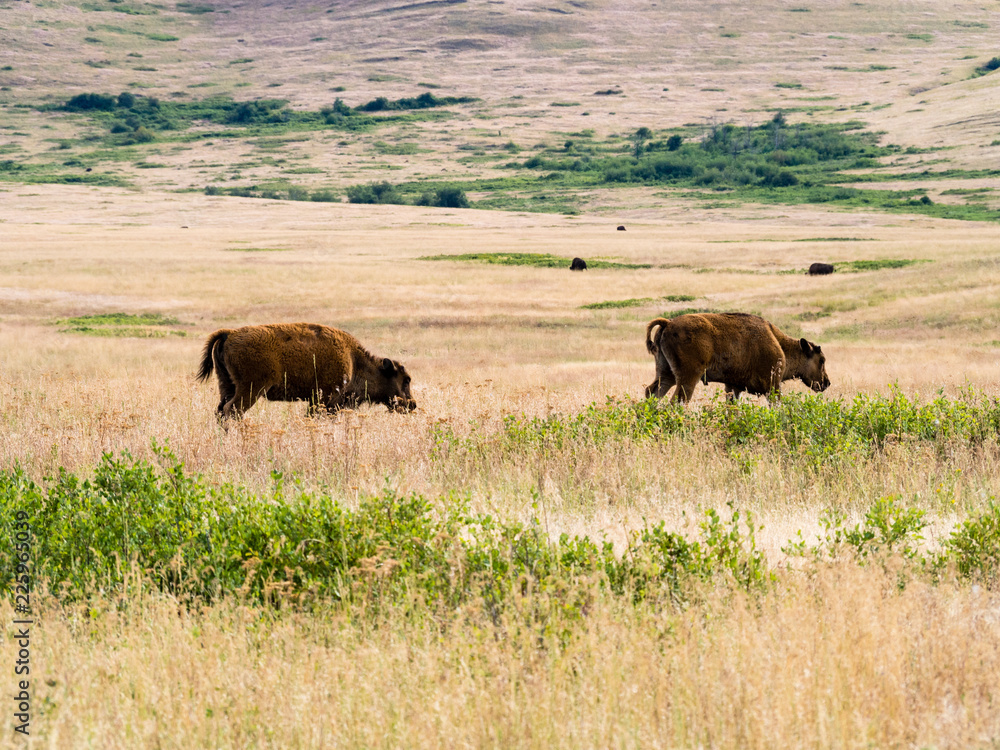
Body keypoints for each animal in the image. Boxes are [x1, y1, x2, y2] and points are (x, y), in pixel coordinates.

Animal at [197, 320, 416, 420]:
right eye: (406, 379)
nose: (411, 405)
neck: (354, 360)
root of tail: (229, 334)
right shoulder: (323, 399)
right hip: (250, 390)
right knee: (232, 410)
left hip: (227, 385)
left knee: (221, 410)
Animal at [644, 312, 832, 406]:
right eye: (821, 360)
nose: (826, 382)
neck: (778, 342)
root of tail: (668, 323)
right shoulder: (773, 386)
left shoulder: (733, 386)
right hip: (688, 377)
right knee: (677, 402)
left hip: (666, 374)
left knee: (652, 393)